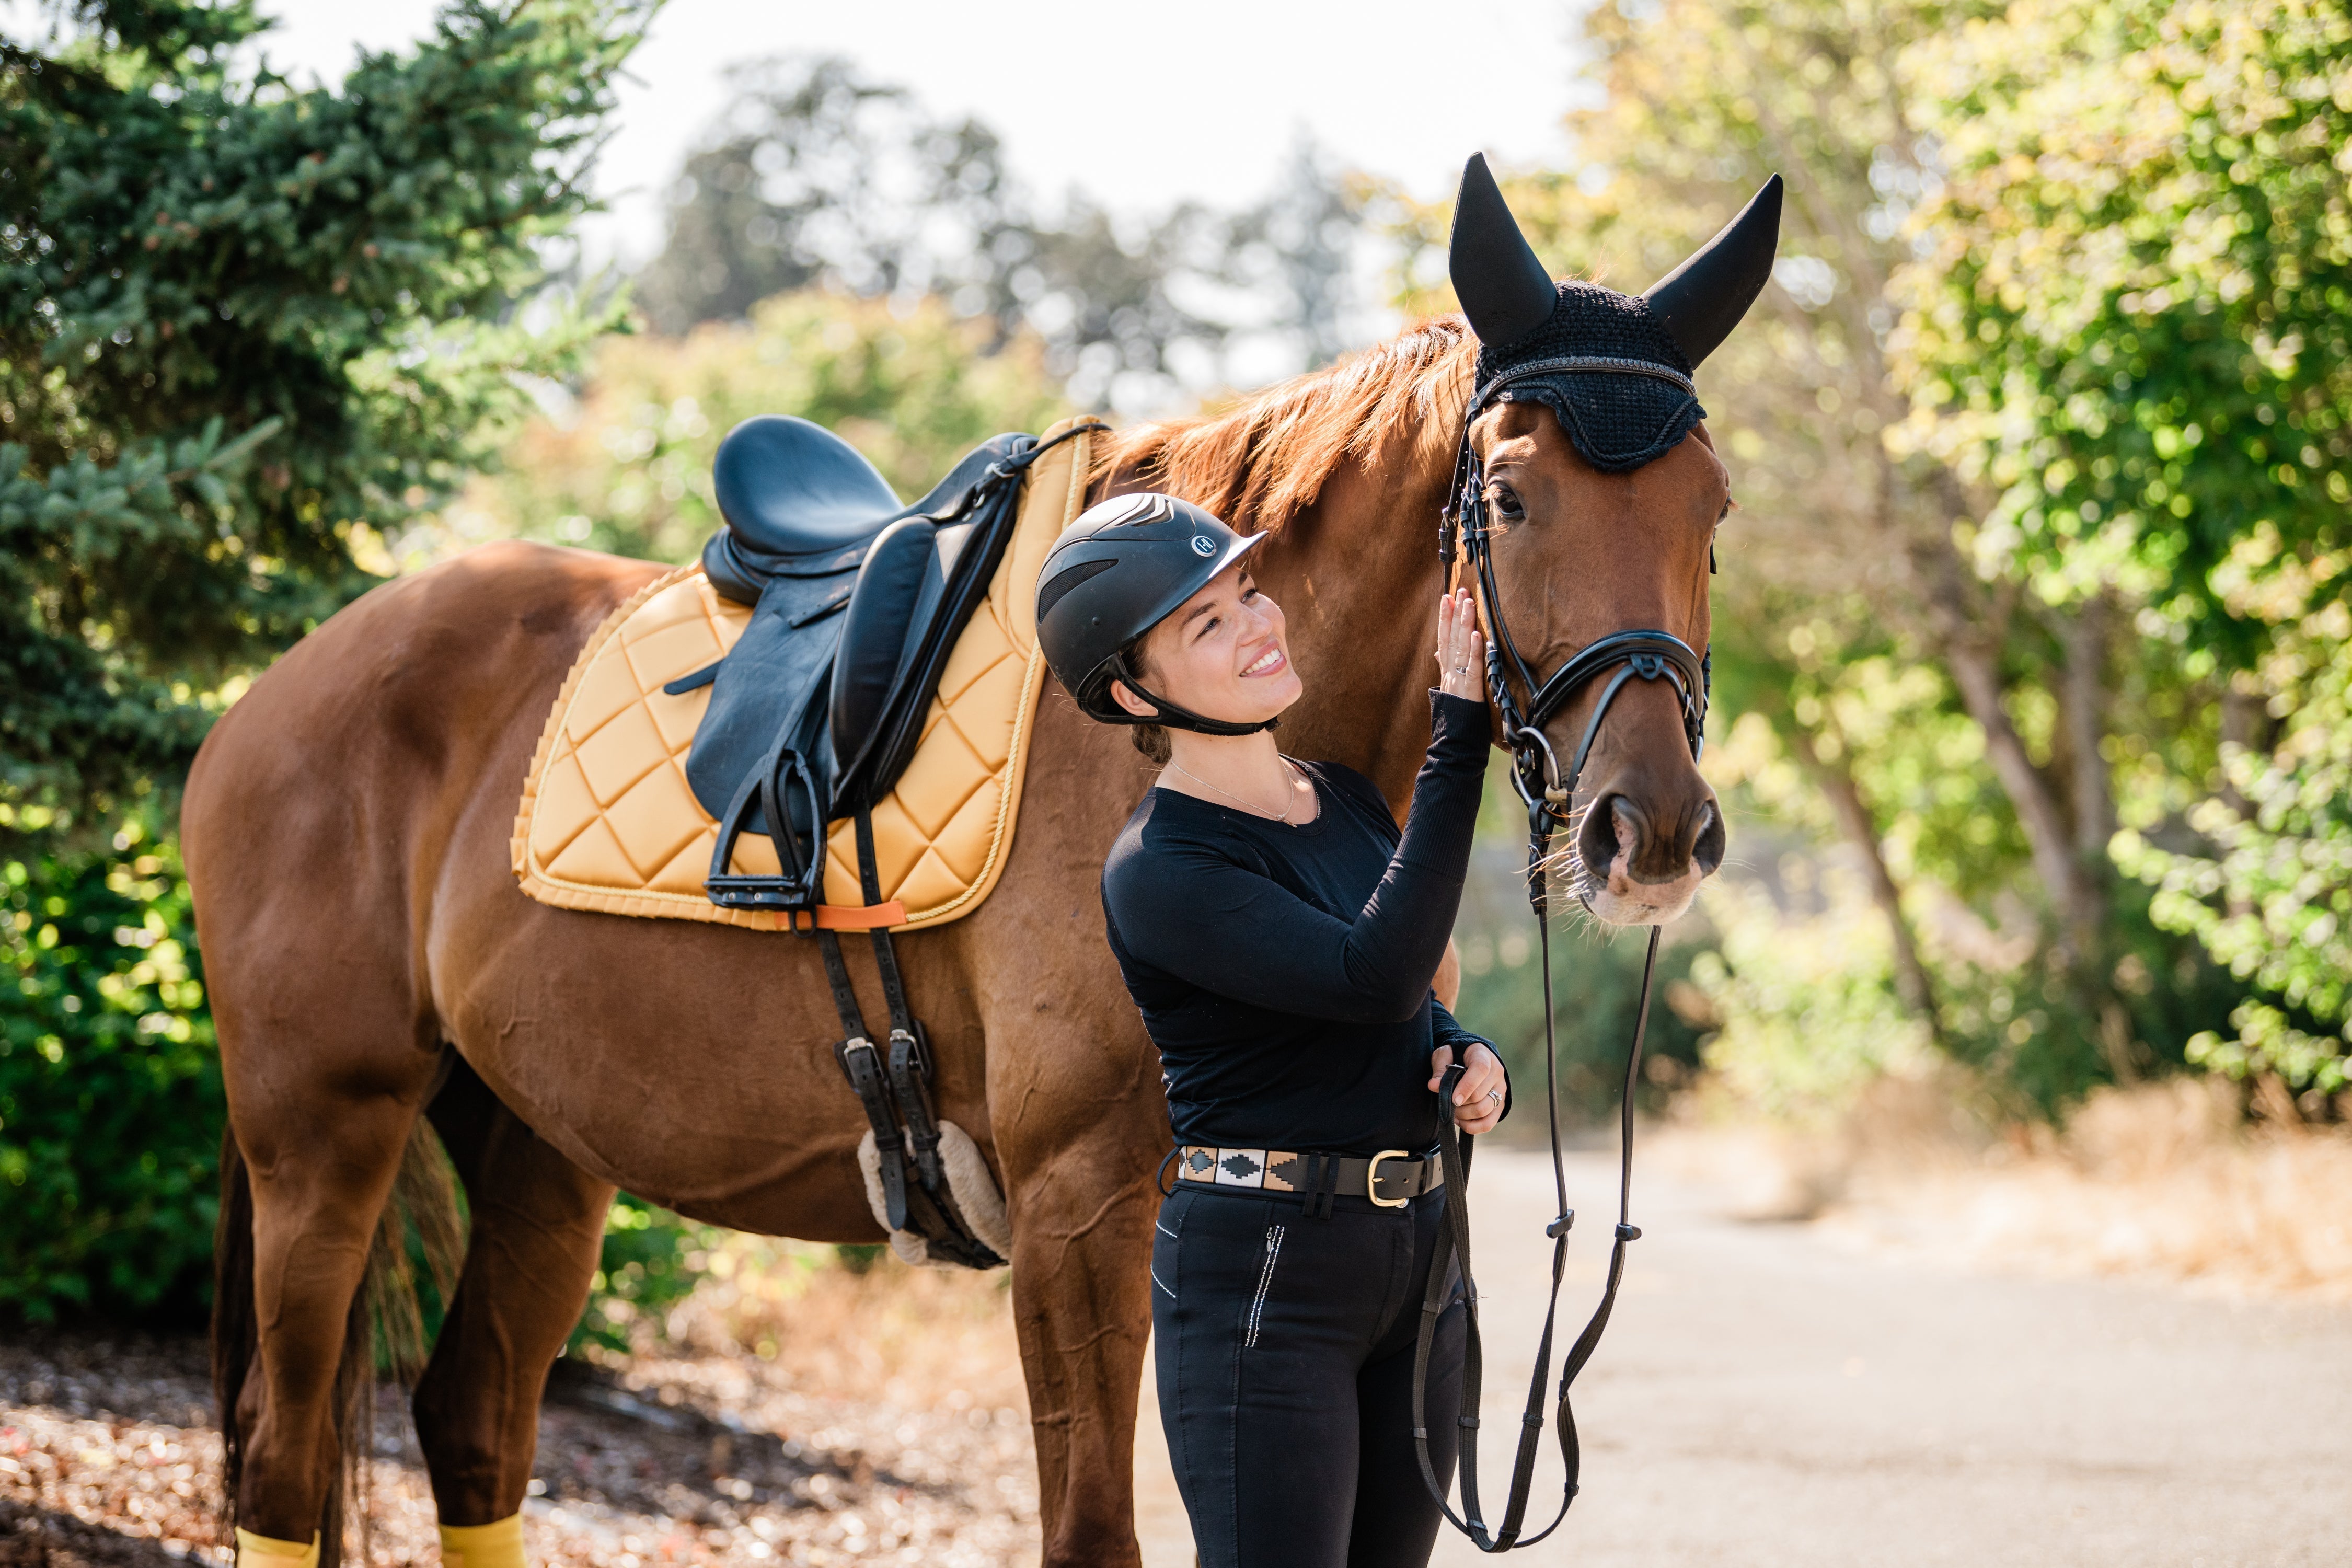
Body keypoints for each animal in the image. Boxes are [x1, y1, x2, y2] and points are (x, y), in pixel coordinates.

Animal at [183, 313, 1731, 1561]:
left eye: (1709, 508)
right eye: (1512, 498)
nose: (1646, 833)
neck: (1171, 754)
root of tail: (266, 695)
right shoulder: (1077, 1217)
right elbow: (1092, 1532)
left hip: (540, 1154)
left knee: (469, 1426)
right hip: (323, 1137)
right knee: (281, 1452)